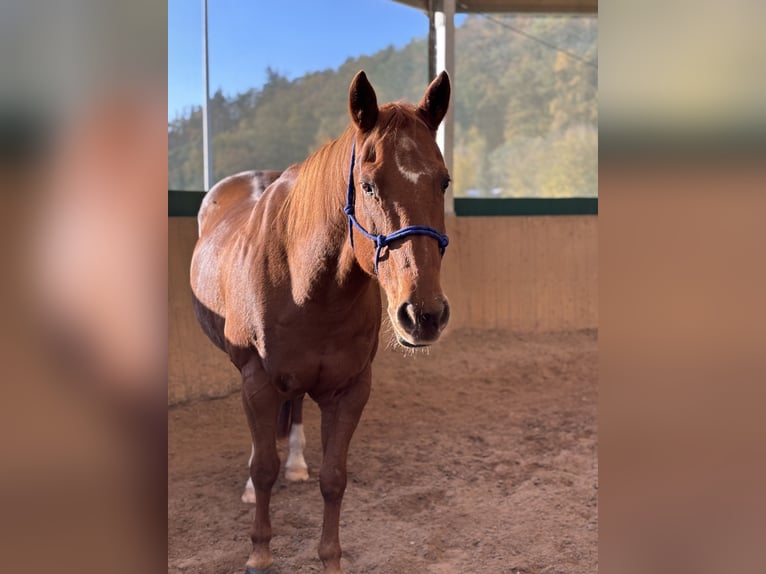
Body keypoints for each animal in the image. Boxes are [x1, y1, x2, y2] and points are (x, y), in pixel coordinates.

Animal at [191, 70, 452, 572]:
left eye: (444, 182)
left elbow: (334, 478)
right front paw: (259, 553)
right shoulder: (257, 381)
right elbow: (262, 468)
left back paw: (295, 462)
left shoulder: (349, 390)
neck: (308, 285)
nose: (424, 315)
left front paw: (331, 558)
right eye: (368, 185)